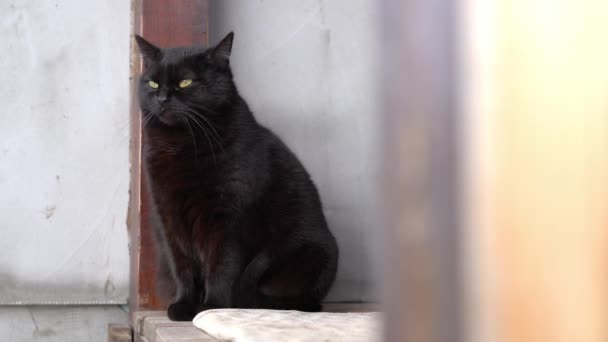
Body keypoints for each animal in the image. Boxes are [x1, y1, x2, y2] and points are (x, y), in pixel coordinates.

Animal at [135, 32, 340, 320]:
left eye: (186, 82)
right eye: (152, 82)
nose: (162, 98)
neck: (181, 144)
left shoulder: (227, 218)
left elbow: (222, 265)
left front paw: (212, 307)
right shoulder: (168, 215)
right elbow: (182, 266)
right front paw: (184, 306)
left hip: (313, 253)